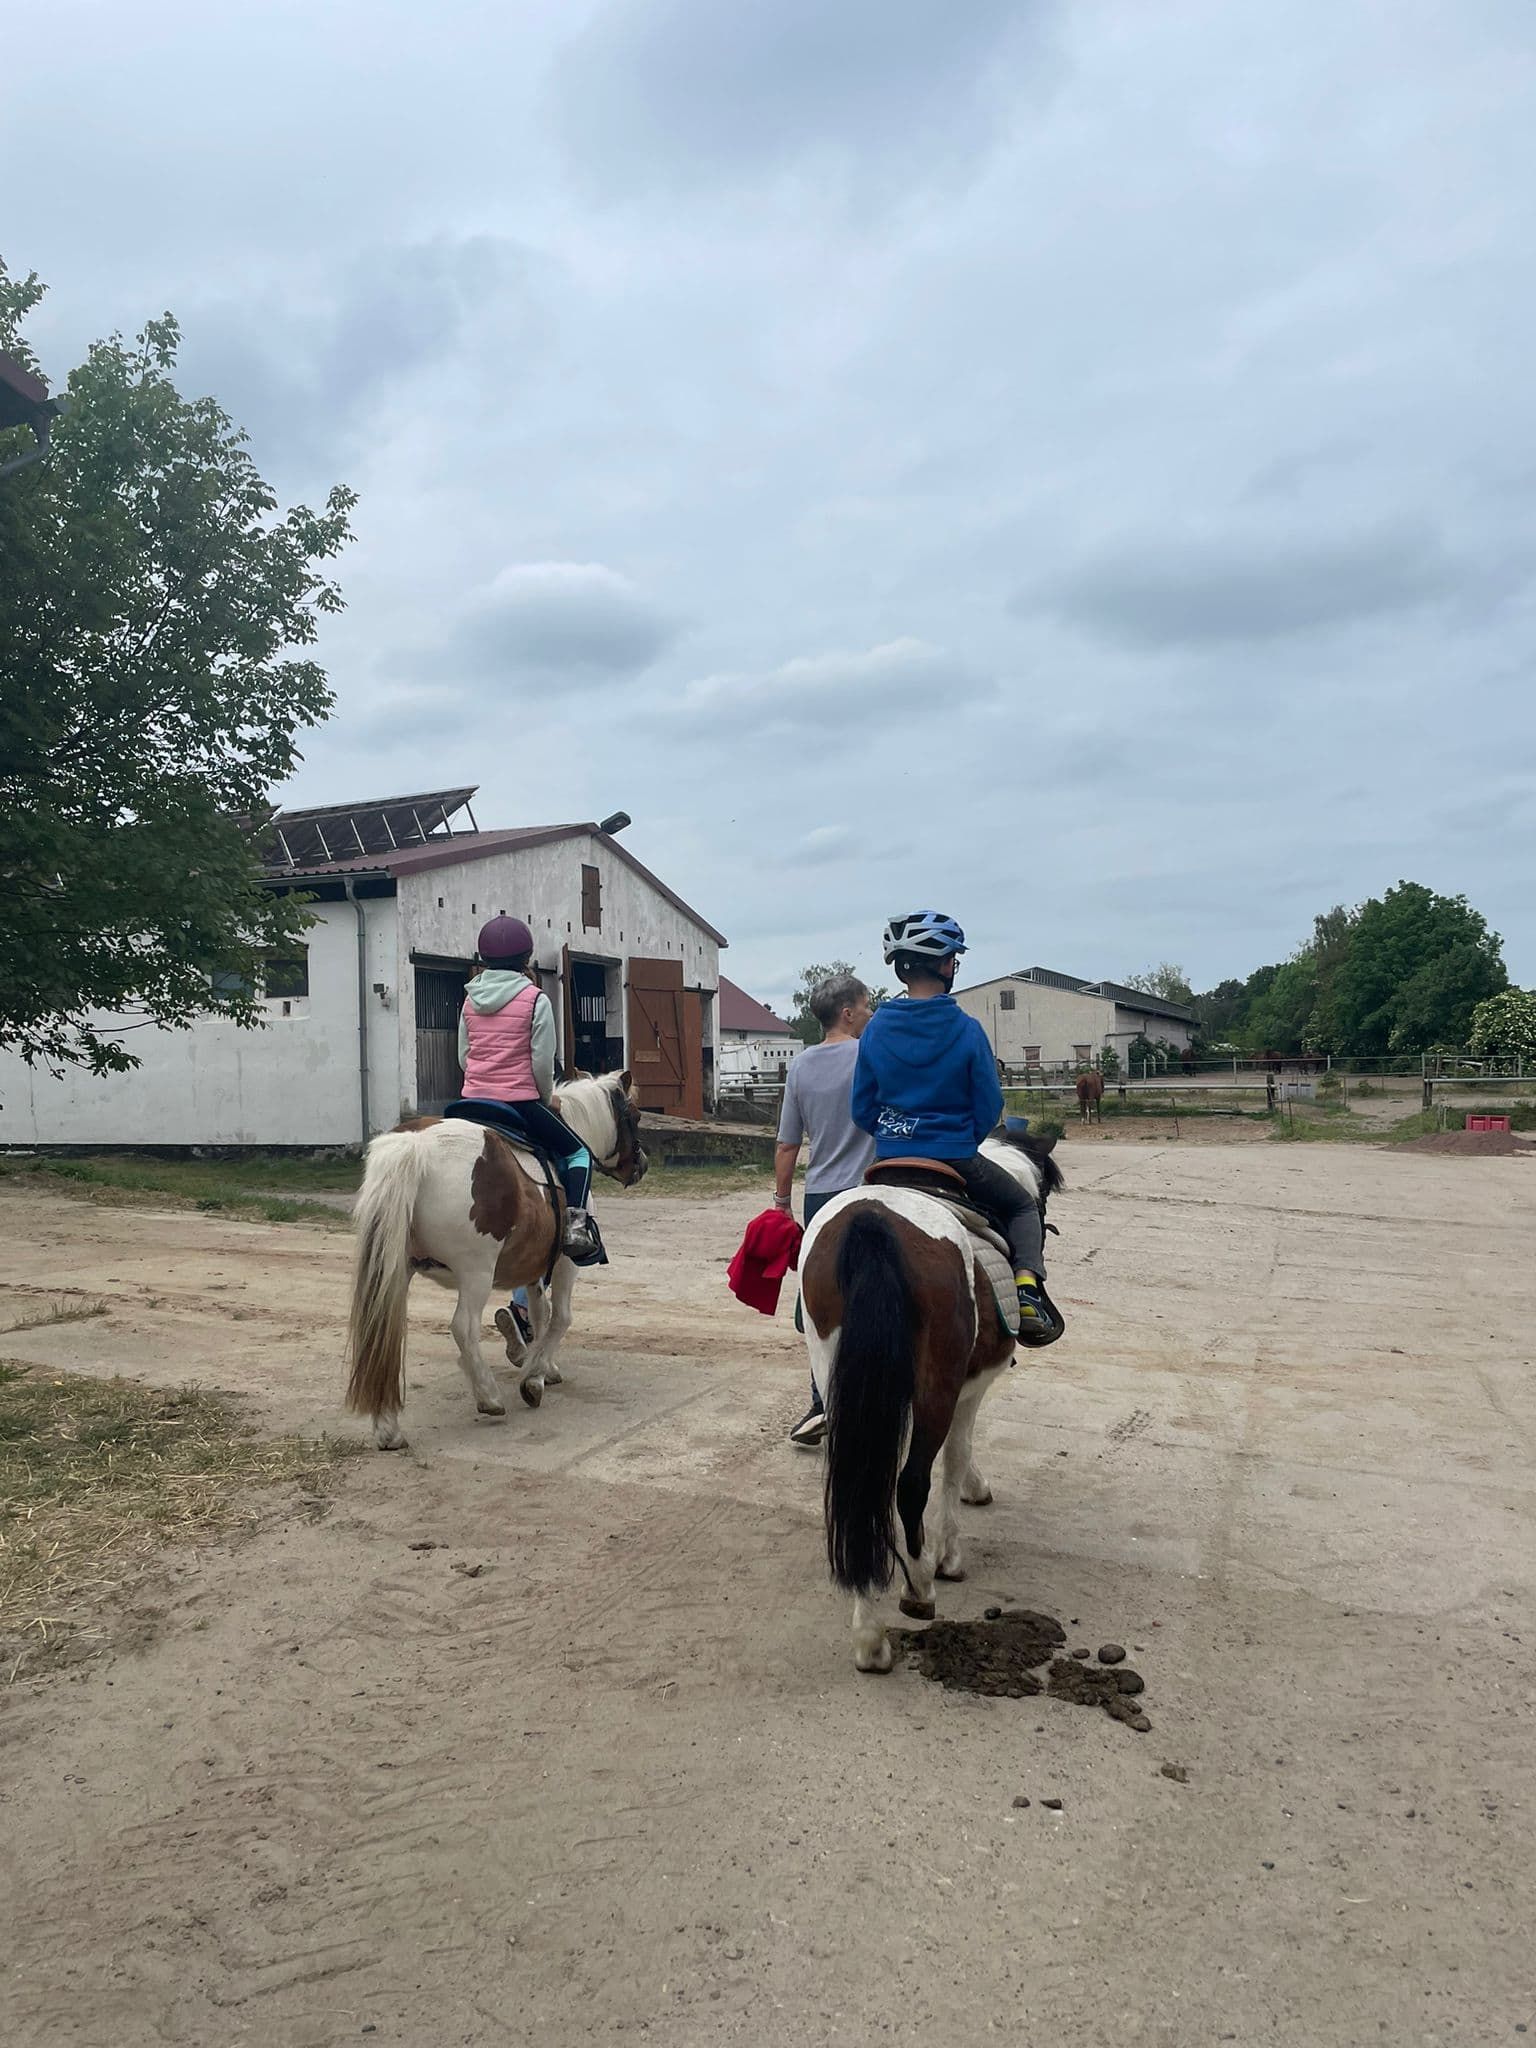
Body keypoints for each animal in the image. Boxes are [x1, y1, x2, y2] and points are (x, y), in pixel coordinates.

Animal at [346, 1081, 647, 1449]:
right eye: (634, 1115)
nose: (642, 1164)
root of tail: (416, 1144)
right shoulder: (564, 1263)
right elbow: (560, 1317)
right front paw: (533, 1380)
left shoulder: (535, 1266)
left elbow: (540, 1313)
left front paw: (543, 1366)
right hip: (476, 1272)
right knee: (463, 1328)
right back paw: (488, 1397)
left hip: (396, 1269)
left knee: (383, 1333)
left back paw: (388, 1428)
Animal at [806, 1130, 1073, 1671]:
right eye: (1041, 1200)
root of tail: (872, 1222)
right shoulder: (971, 1388)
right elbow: (956, 1458)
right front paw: (950, 1551)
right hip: (936, 1387)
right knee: (910, 1483)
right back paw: (918, 1588)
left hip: (835, 1372)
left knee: (858, 1483)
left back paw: (869, 1634)